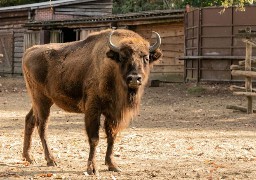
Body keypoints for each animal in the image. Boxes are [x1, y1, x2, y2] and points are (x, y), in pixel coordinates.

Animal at [21, 28, 162, 175]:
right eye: (122, 57)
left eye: (146, 58)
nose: (134, 78)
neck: (111, 68)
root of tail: (29, 51)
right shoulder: (93, 110)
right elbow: (94, 139)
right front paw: (92, 168)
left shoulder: (113, 114)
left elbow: (112, 137)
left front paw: (113, 165)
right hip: (42, 100)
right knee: (42, 126)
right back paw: (51, 160)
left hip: (40, 102)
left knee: (30, 120)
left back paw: (29, 157)